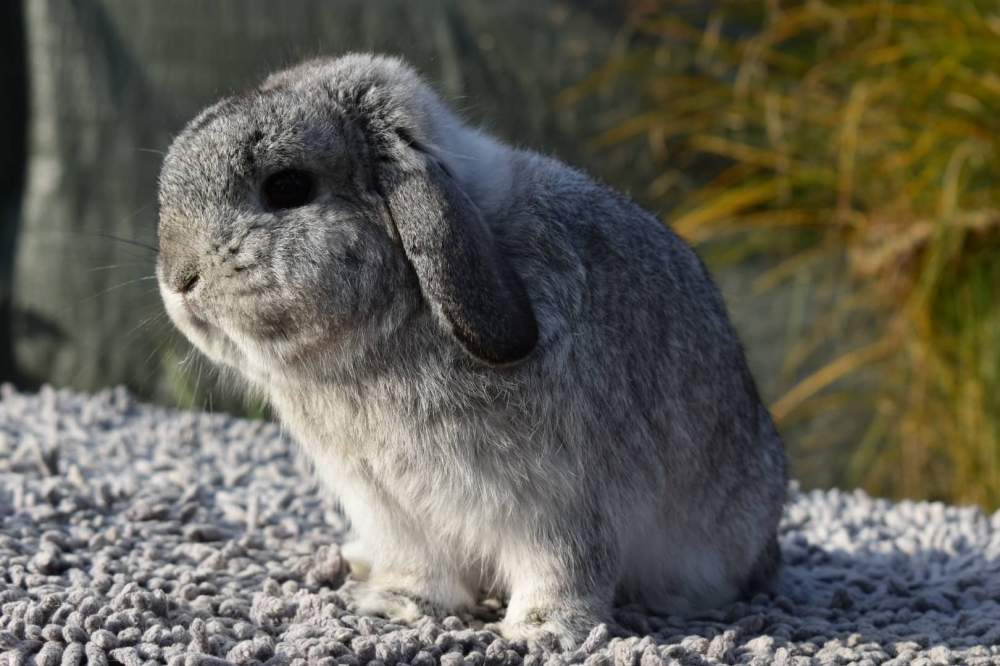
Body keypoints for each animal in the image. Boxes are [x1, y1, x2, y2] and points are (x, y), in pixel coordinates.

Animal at [158, 53, 788, 648]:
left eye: (288, 187)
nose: (178, 279)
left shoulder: (564, 507)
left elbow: (564, 572)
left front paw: (543, 631)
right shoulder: (394, 511)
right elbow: (419, 569)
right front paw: (397, 604)